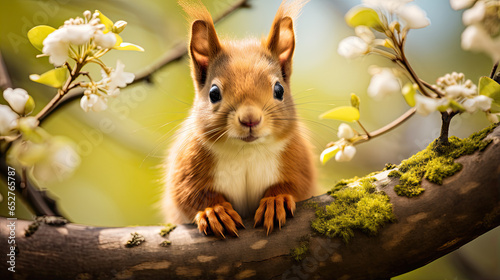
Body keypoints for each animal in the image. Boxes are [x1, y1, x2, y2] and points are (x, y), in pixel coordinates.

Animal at [162, 0, 314, 237]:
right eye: (214, 93)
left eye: (279, 90)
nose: (250, 119)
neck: (246, 152)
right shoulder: (187, 164)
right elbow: (188, 195)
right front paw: (214, 211)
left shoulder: (298, 159)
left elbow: (297, 185)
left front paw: (276, 200)